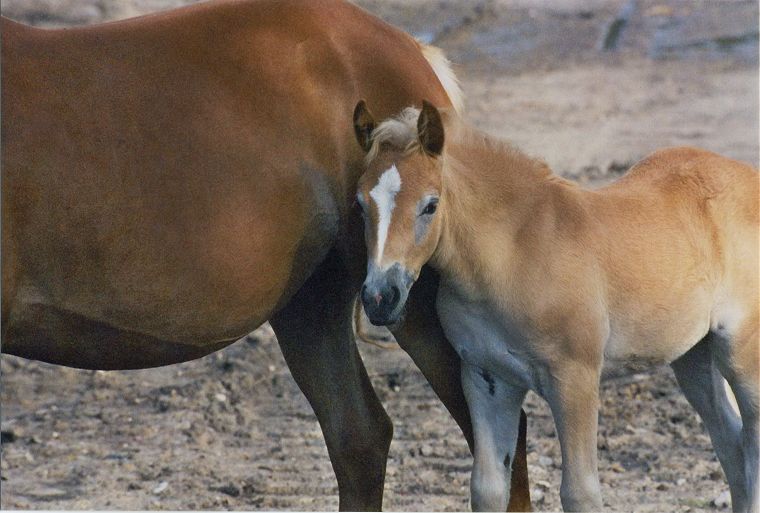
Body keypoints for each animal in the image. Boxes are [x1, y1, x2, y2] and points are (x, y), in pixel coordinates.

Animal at [353, 100, 758, 512]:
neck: (512, 256)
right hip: (694, 355)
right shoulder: (487, 378)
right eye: (360, 204)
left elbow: (579, 492)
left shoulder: (575, 378)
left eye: (430, 205)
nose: (380, 297)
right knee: (730, 440)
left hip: (742, 355)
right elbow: (487, 488)